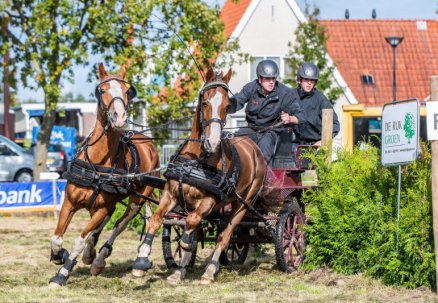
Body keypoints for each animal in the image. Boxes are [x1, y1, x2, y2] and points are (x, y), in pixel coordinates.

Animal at [49, 63, 159, 288]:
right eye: (102, 90)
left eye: (127, 91)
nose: (119, 117)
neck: (98, 162)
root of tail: (147, 141)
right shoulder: (70, 202)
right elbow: (57, 238)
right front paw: (58, 256)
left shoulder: (101, 208)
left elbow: (79, 240)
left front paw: (62, 274)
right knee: (109, 220)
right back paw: (91, 254)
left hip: (137, 198)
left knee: (121, 223)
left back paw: (103, 258)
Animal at [130, 68, 266, 284]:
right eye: (205, 103)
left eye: (227, 106)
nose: (212, 142)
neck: (197, 160)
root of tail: (255, 149)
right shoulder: (170, 194)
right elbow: (157, 220)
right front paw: (141, 261)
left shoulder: (209, 201)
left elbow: (191, 224)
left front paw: (186, 246)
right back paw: (180, 272)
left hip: (243, 204)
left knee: (224, 236)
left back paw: (209, 270)